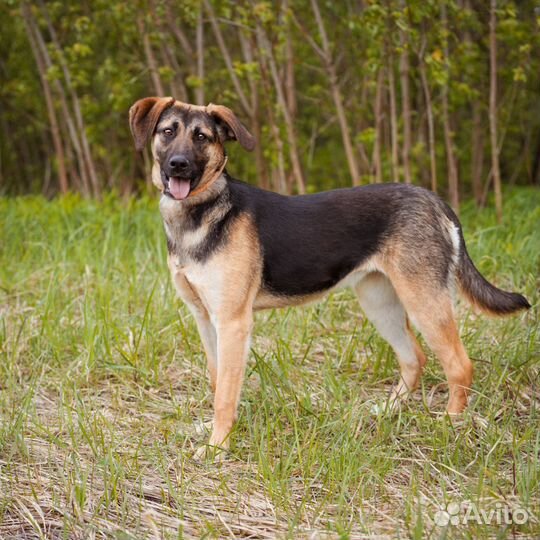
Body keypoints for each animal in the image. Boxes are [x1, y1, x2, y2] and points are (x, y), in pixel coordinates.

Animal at [130, 98, 528, 460]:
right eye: (168, 132)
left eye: (202, 137)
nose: (178, 165)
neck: (200, 213)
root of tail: (433, 199)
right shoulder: (204, 319)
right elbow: (216, 382)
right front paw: (211, 432)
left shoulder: (232, 323)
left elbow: (226, 394)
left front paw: (218, 446)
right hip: (379, 303)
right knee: (414, 357)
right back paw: (388, 411)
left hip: (424, 301)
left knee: (459, 365)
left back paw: (451, 425)